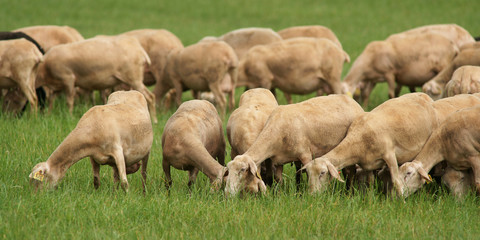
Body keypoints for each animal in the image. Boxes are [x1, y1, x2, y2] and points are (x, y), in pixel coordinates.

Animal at [225, 94, 364, 197]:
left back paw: (349, 193)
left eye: (243, 169)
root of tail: (352, 101)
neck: (276, 130)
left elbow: (308, 174)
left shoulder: (306, 155)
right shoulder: (278, 160)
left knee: (350, 171)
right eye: (228, 169)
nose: (227, 192)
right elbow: (278, 179)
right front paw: (279, 195)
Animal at [304, 93, 438, 196]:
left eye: (322, 173)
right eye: (308, 174)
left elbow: (396, 181)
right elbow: (371, 181)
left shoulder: (390, 155)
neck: (357, 141)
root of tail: (423, 97)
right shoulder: (369, 164)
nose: (312, 195)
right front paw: (369, 199)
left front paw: (400, 202)